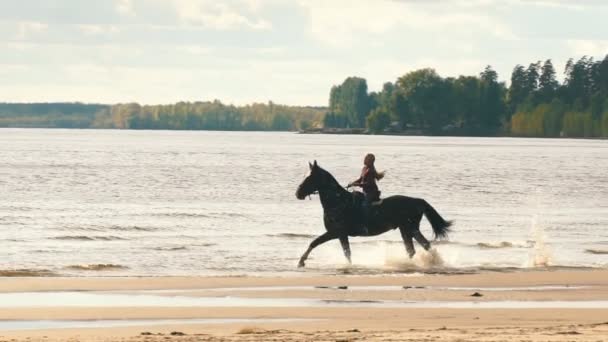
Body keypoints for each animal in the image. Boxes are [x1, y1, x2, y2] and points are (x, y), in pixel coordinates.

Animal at [292, 162, 454, 268]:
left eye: (309, 178)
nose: (298, 193)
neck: (338, 202)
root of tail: (418, 201)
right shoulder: (340, 235)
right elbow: (346, 252)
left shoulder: (335, 232)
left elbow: (315, 243)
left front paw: (301, 261)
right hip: (405, 229)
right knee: (414, 248)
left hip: (410, 228)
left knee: (423, 246)